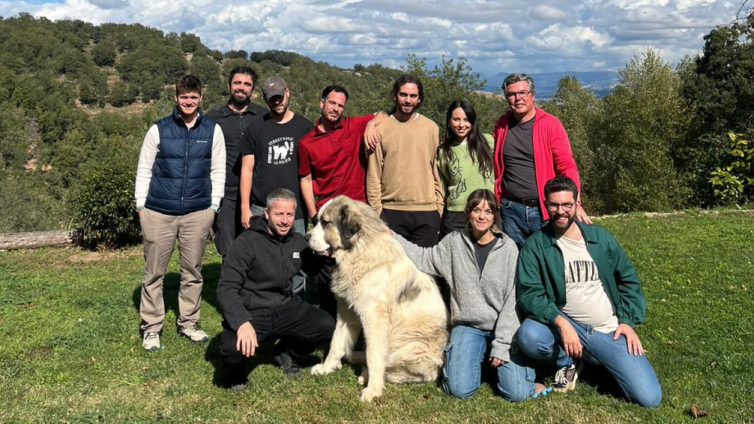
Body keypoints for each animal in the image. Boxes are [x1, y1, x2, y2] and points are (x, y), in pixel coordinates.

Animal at [304, 195, 446, 400]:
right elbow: (336, 341)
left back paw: (365, 375)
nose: (306, 237)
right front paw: (327, 367)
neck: (358, 251)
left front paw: (372, 390)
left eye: (325, 222)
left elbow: (373, 355)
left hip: (412, 351)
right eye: (317, 220)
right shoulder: (346, 311)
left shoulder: (373, 317)